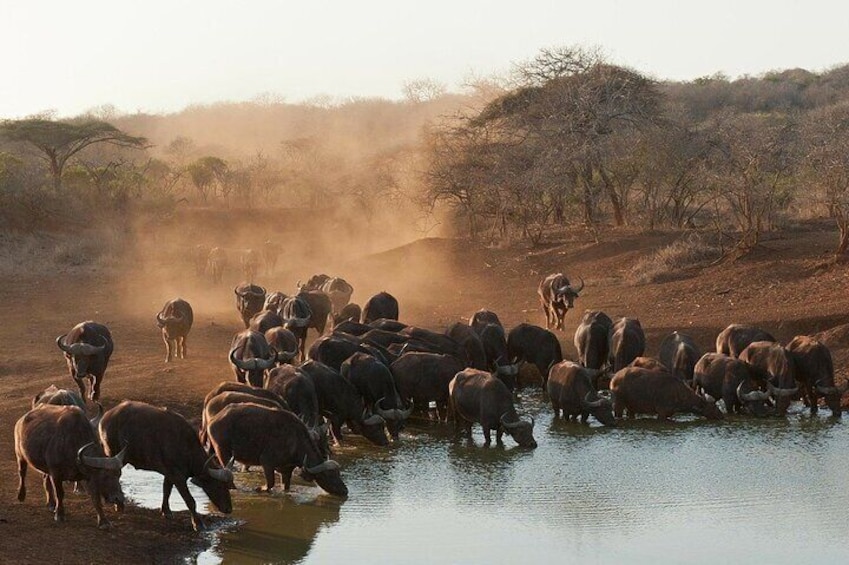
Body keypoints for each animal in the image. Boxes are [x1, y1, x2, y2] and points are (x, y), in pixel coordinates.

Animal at [100, 398, 235, 532]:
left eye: (228, 486)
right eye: (218, 485)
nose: (229, 509)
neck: (185, 447)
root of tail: (106, 417)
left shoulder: (169, 474)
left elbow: (166, 490)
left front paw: (166, 511)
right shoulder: (178, 477)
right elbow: (190, 500)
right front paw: (198, 523)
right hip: (113, 453)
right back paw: (118, 505)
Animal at [207, 400, 346, 494]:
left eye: (338, 474)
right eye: (329, 476)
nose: (344, 490)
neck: (295, 441)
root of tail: (214, 419)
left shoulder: (286, 470)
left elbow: (285, 486)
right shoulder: (267, 462)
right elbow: (270, 483)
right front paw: (259, 488)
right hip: (223, 451)